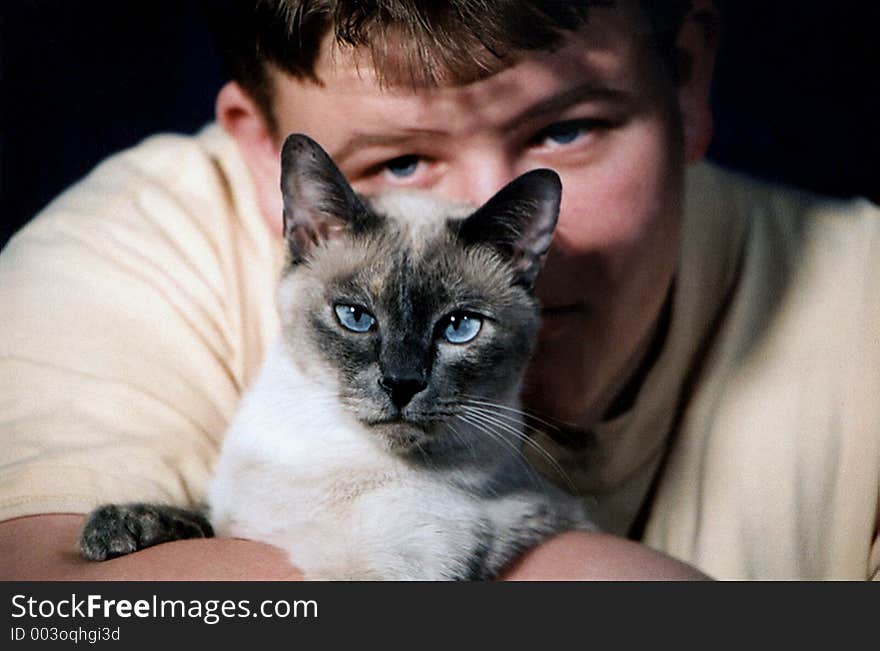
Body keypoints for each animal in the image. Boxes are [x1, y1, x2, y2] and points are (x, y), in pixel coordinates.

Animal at [79, 132, 596, 580]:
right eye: (355, 317)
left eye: (459, 328)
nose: (402, 383)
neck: (331, 455)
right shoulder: (233, 520)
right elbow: (199, 519)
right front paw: (116, 531)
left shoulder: (386, 568)